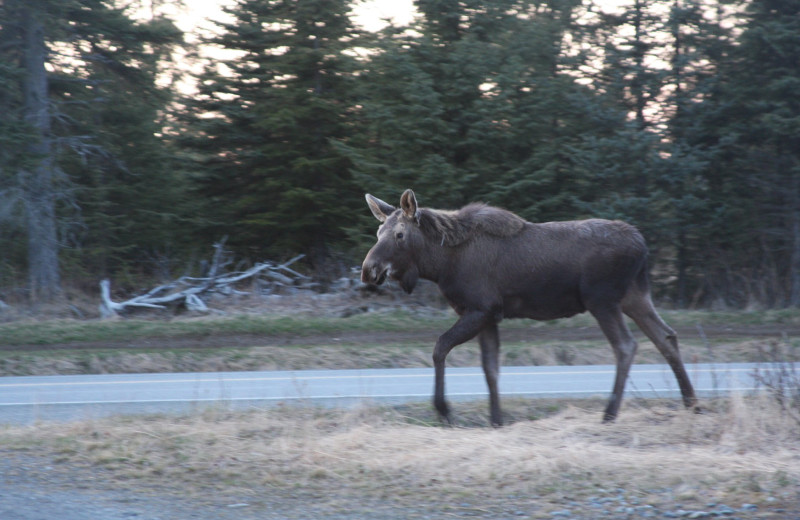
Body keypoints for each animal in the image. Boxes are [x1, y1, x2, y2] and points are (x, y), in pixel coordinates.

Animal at [360, 189, 696, 424]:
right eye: (377, 233)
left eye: (399, 234)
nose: (368, 270)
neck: (441, 265)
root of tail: (643, 245)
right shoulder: (489, 315)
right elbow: (490, 368)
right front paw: (496, 420)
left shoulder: (480, 309)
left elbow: (440, 347)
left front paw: (444, 410)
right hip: (634, 296)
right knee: (666, 336)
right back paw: (691, 403)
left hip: (602, 299)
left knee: (626, 346)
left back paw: (610, 414)